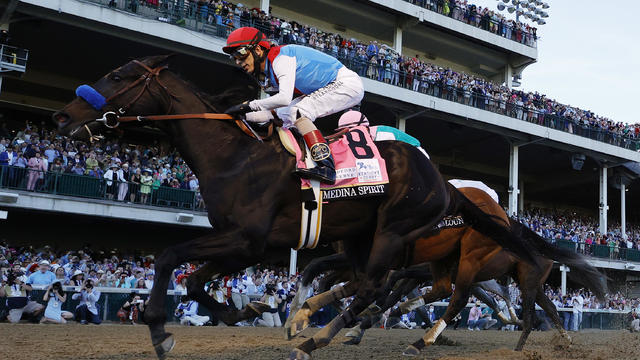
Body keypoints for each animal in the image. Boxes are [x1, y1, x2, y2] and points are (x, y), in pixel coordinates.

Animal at [52, 54, 536, 358]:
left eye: (118, 76)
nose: (62, 116)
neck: (234, 157)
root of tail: (442, 181)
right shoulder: (240, 244)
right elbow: (194, 282)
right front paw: (244, 310)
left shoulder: (247, 240)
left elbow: (170, 257)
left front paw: (159, 331)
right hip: (368, 239)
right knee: (381, 286)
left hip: (398, 234)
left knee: (383, 288)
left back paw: (318, 338)